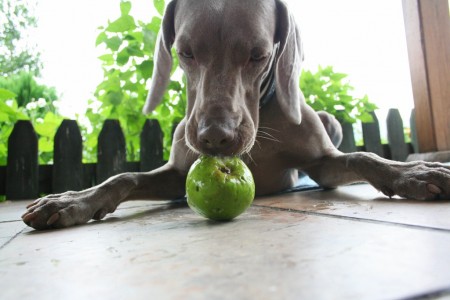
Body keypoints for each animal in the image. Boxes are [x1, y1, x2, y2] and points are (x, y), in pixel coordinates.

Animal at [22, 0, 450, 230]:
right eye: (185, 52)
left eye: (259, 55)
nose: (215, 137)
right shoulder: (177, 174)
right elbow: (123, 176)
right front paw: (70, 201)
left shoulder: (323, 163)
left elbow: (364, 156)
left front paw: (416, 172)